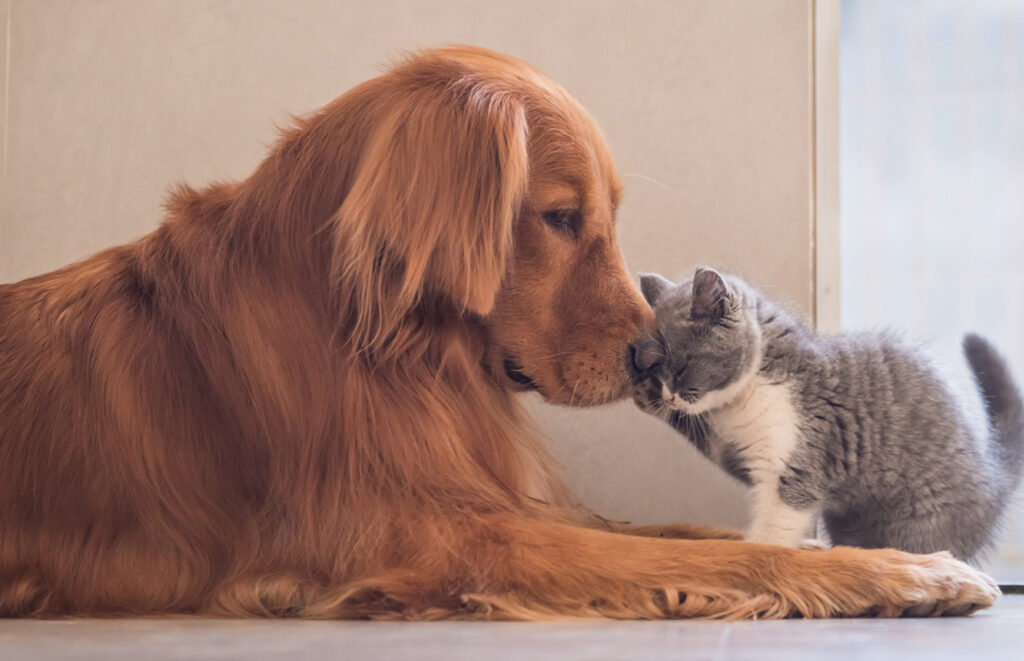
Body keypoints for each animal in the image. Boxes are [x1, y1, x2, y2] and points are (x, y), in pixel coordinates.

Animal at [630, 266, 1024, 560]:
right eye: (659, 371)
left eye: (681, 367)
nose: (669, 396)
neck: (744, 399)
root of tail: (992, 480)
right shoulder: (739, 452)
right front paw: (643, 392)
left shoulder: (799, 460)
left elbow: (775, 524)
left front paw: (754, 555)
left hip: (921, 520)